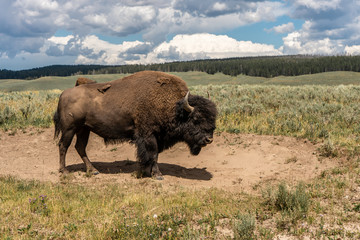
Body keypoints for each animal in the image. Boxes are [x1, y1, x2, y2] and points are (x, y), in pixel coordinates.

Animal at [53, 70, 217, 179]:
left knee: (80, 147)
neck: (176, 108)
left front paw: (147, 172)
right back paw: (64, 171)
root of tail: (63, 94)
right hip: (70, 128)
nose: (209, 139)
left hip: (84, 129)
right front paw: (157, 175)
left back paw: (93, 170)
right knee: (63, 146)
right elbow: (153, 154)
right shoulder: (149, 135)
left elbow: (153, 155)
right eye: (196, 119)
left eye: (213, 118)